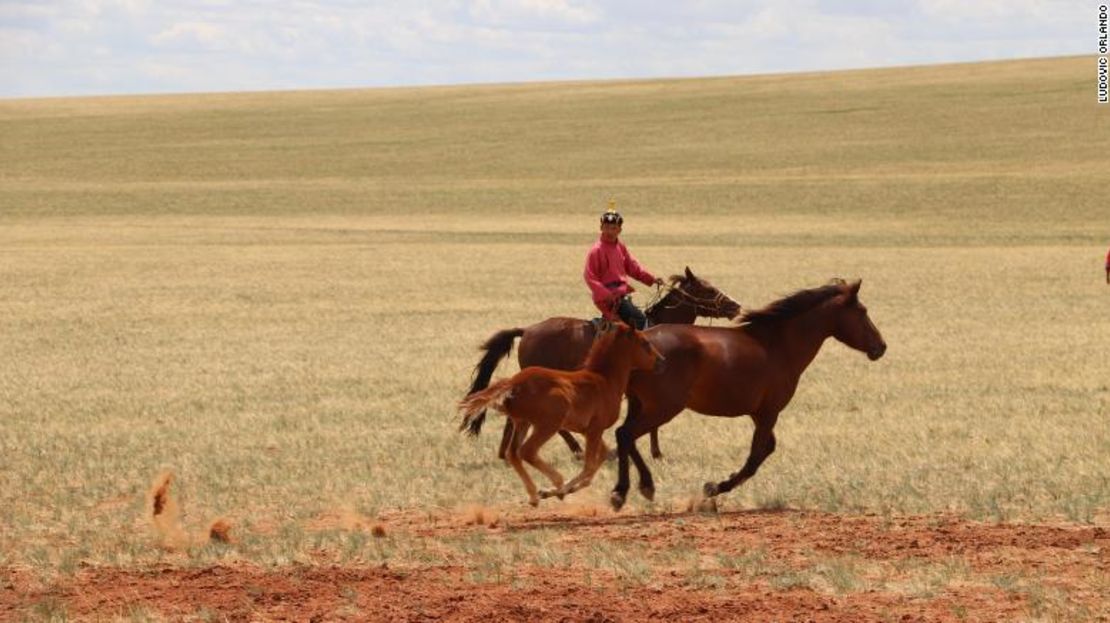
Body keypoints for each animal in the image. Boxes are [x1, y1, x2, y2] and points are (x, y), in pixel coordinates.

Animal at [457, 319, 661, 506]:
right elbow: (589, 467)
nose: (661, 360)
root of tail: (514, 383)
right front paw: (557, 490)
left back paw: (533, 495)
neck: (603, 379)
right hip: (548, 424)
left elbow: (600, 459)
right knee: (527, 451)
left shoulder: (589, 431)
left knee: (513, 453)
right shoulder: (594, 430)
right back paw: (556, 483)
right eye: (645, 343)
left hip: (522, 422)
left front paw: (558, 490)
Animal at [463, 264, 741, 459]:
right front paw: (655, 453)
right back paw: (574, 449)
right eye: (708, 289)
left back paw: (506, 453)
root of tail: (528, 330)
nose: (735, 306)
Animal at [608, 277, 883, 510]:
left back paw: (640, 486)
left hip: (640, 404)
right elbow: (754, 459)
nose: (881, 347)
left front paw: (721, 483)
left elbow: (767, 449)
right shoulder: (769, 412)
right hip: (663, 407)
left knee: (625, 436)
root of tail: (639, 341)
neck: (779, 345)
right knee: (626, 434)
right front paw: (714, 488)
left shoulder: (759, 413)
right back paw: (625, 491)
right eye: (863, 312)